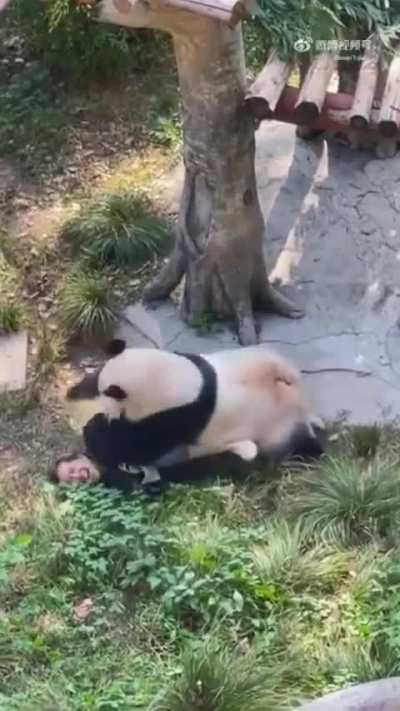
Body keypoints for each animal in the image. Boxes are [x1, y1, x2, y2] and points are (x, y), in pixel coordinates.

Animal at [66, 339, 325, 475]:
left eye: (110, 403)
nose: (108, 418)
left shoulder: (175, 417)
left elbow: (132, 445)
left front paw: (96, 431)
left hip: (275, 422)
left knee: (290, 441)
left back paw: (309, 451)